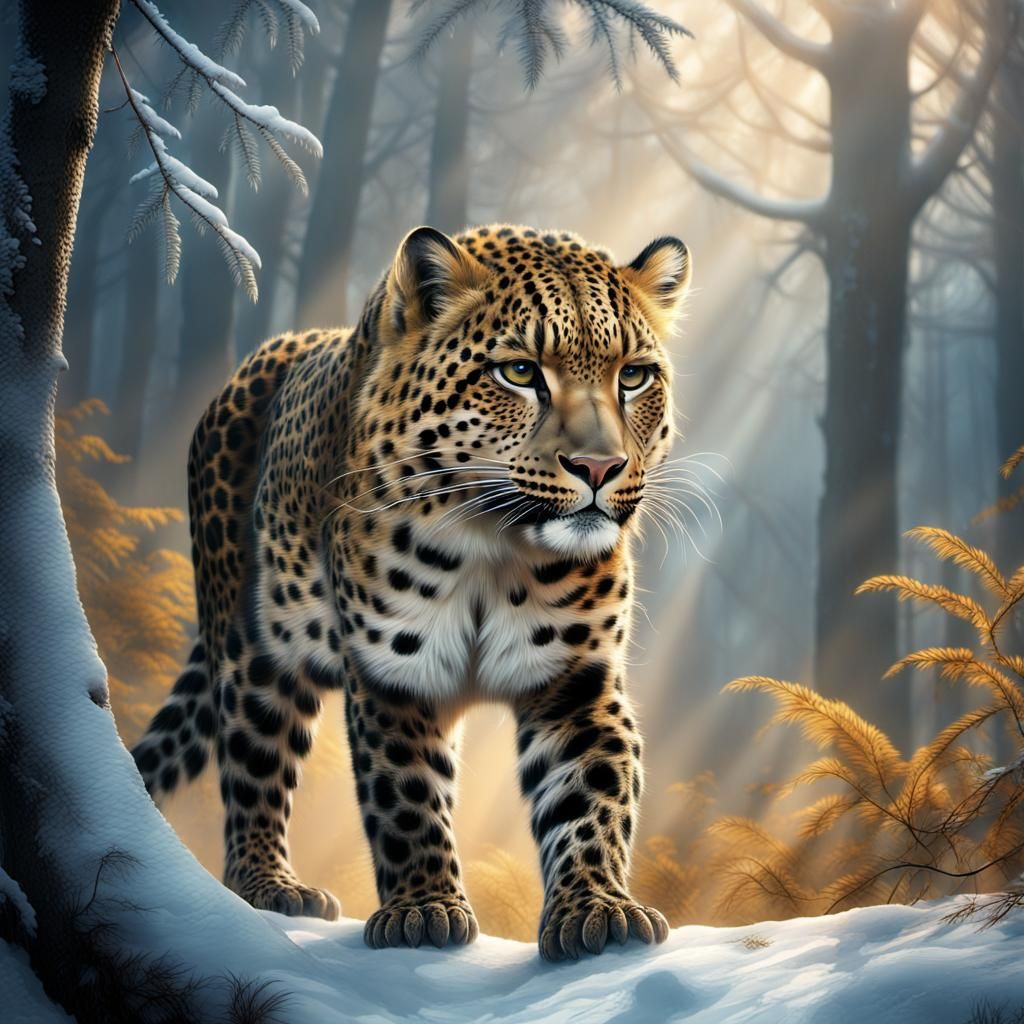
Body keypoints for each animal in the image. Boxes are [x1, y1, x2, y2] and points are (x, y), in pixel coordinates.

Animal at [131, 223, 692, 961]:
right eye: (519, 373)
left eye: (633, 376)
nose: (599, 468)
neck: (498, 545)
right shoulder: (393, 670)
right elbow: (404, 795)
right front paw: (423, 913)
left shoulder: (577, 679)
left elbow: (591, 793)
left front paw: (598, 908)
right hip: (253, 651)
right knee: (254, 765)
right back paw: (268, 886)